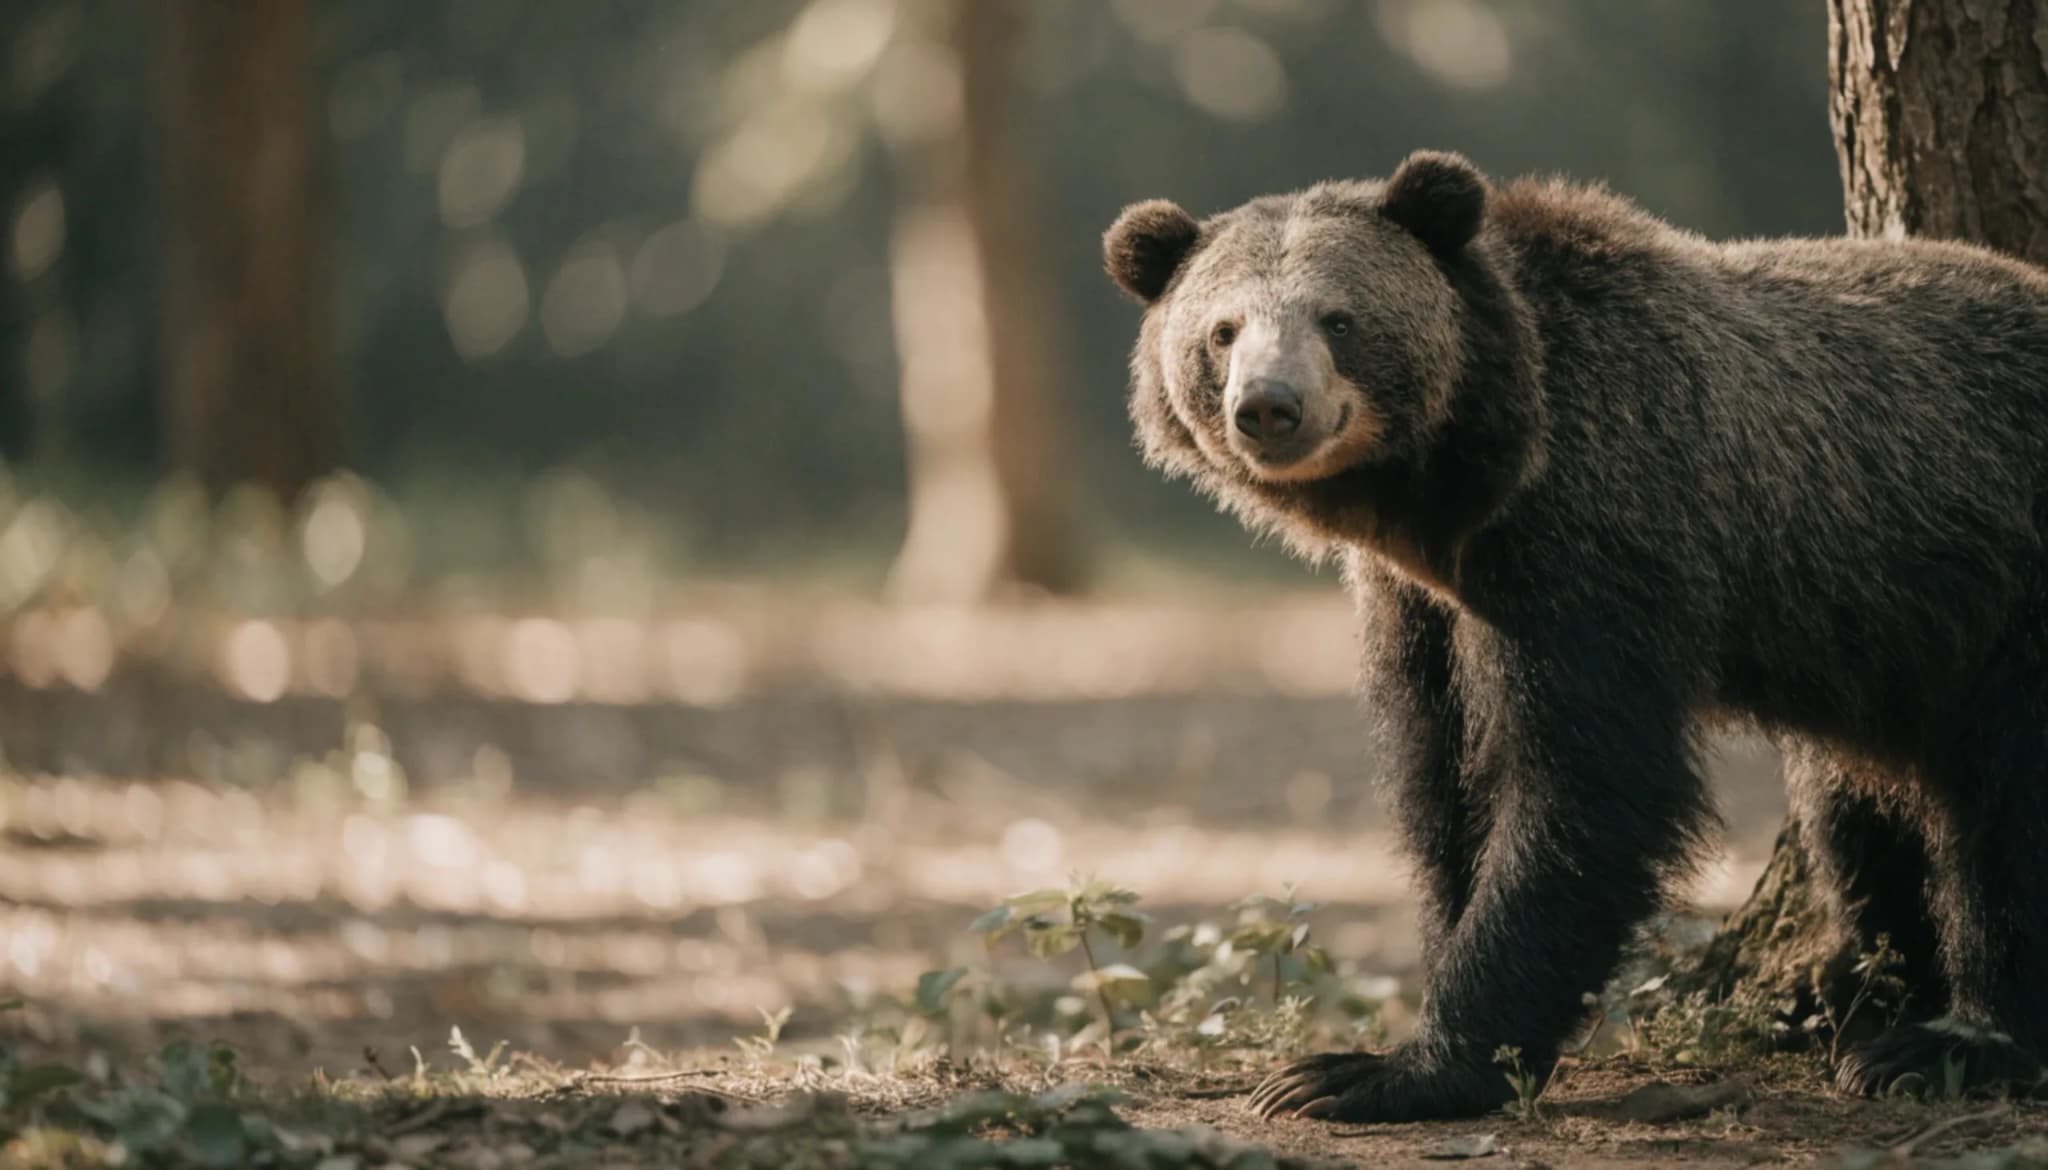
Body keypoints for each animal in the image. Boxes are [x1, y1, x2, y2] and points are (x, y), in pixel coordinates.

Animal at [1102, 150, 2048, 1123]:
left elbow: (1586, 788)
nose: (1269, 407)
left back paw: (1952, 1044)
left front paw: (1378, 1069)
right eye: (1222, 330)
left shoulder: (1598, 538)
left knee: (2009, 822)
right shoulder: (1421, 606)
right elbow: (1443, 778)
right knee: (1856, 824)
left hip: (2011, 605)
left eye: (1340, 317)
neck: (1465, 492)